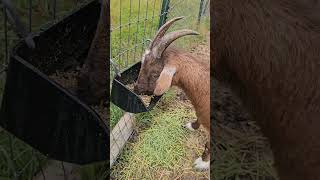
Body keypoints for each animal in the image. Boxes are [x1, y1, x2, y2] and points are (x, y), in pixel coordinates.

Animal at [132, 16, 210, 170]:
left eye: (156, 74)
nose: (136, 89)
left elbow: (208, 146)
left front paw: (202, 163)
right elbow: (198, 117)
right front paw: (192, 126)